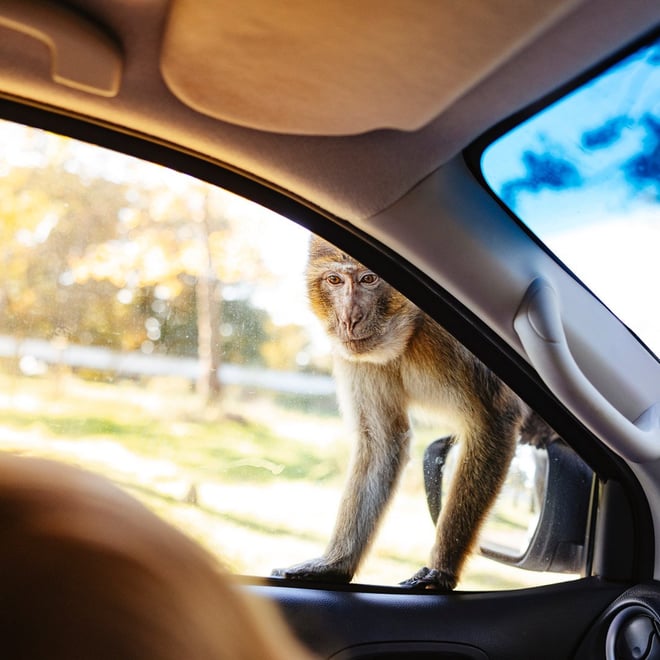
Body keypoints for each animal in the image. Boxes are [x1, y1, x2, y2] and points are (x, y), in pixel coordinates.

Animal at [272, 235, 552, 591]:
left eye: (369, 278)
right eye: (334, 280)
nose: (349, 319)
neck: (409, 332)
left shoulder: (451, 344)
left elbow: (494, 419)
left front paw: (441, 569)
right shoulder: (357, 358)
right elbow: (382, 442)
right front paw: (335, 564)